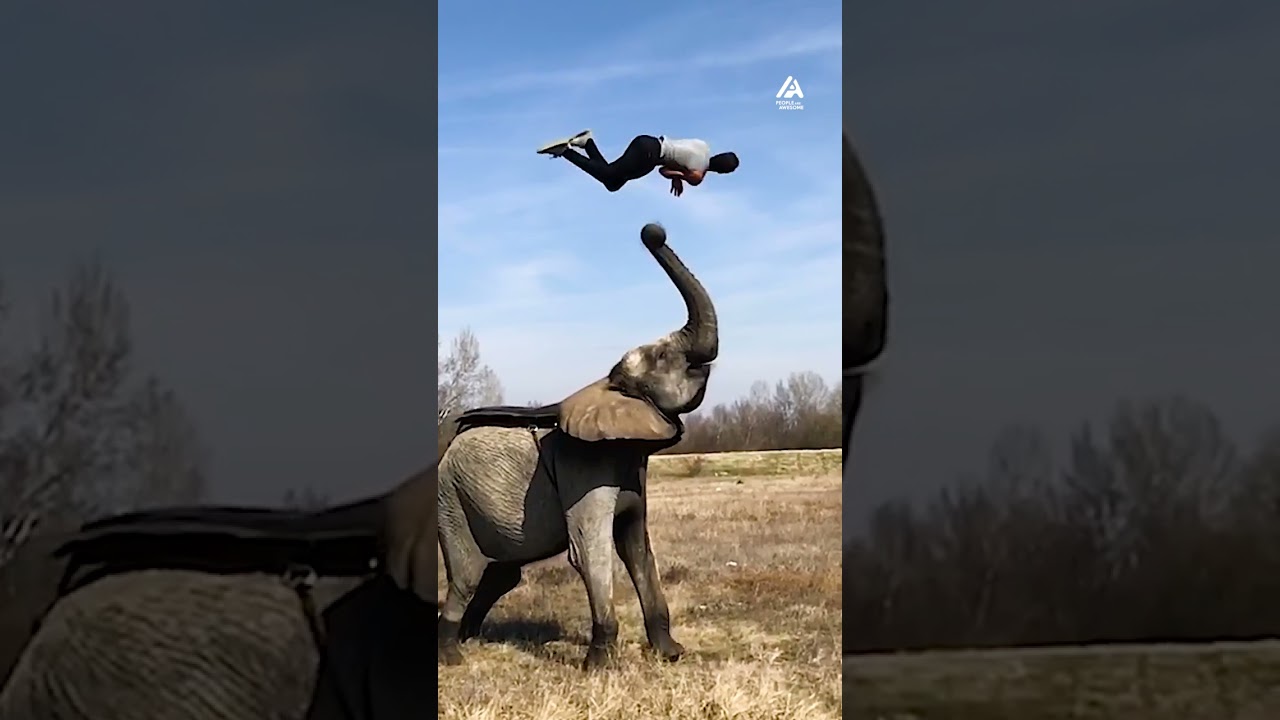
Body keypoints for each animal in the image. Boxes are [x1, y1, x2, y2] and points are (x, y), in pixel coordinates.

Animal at [434, 222, 717, 670]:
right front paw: (600, 667)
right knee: (466, 575)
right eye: (662, 356)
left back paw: (469, 637)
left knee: (501, 574)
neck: (607, 384)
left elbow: (636, 547)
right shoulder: (583, 468)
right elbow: (590, 550)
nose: (652, 231)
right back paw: (453, 656)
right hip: (451, 499)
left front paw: (671, 654)